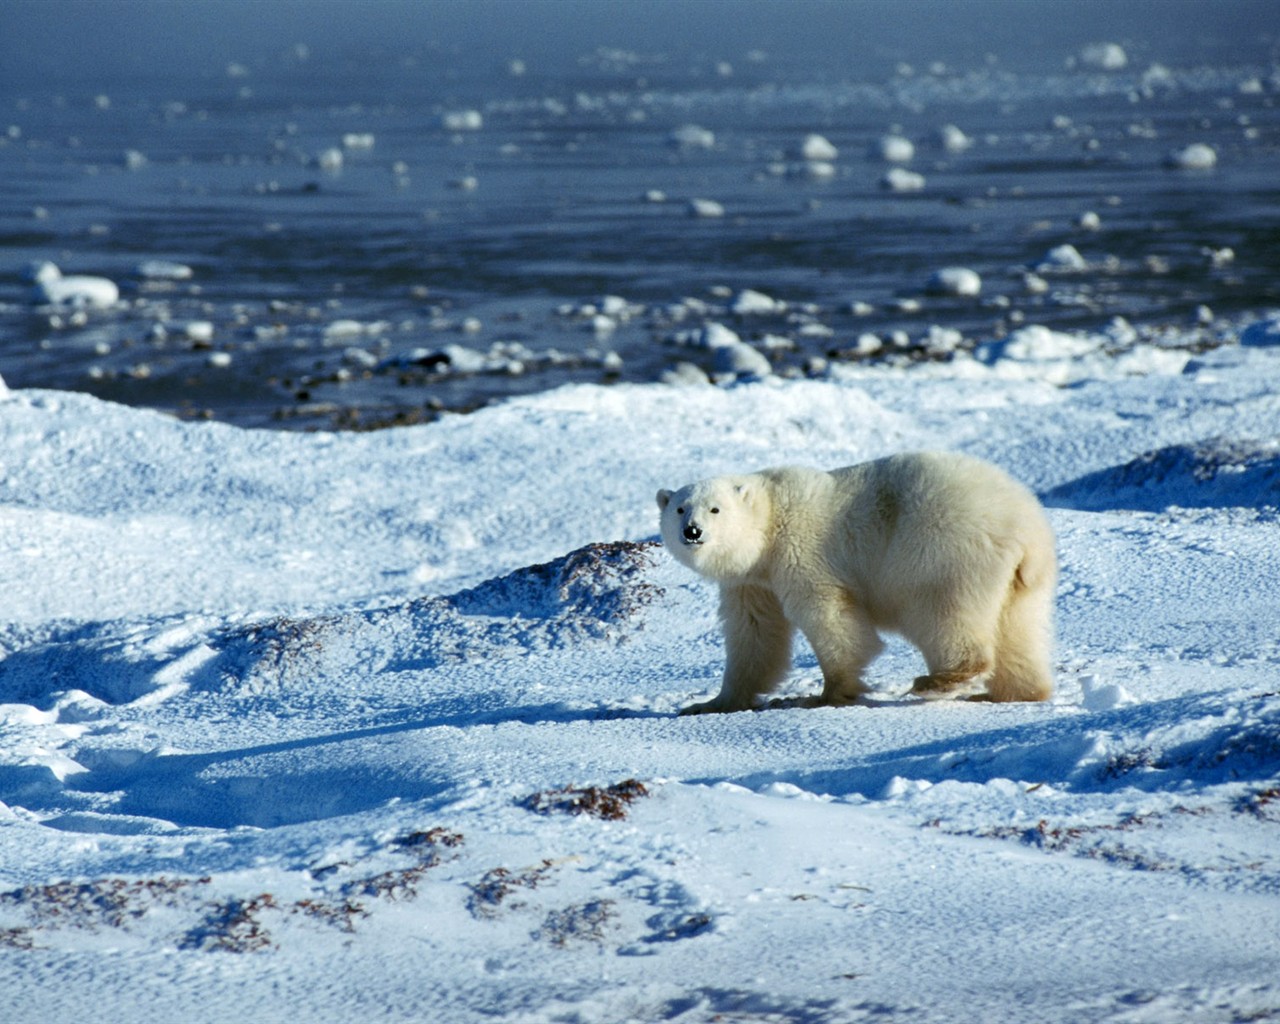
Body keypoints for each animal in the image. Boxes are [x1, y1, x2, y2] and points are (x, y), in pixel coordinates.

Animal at [655, 453, 1054, 716]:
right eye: (679, 508)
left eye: (715, 509)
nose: (692, 532)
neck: (769, 522)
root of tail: (1023, 528)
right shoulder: (751, 582)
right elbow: (754, 634)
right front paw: (711, 704)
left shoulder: (801, 552)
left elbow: (830, 616)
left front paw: (826, 694)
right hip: (1024, 582)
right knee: (1018, 629)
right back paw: (1014, 693)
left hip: (943, 551)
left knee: (942, 612)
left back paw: (940, 680)